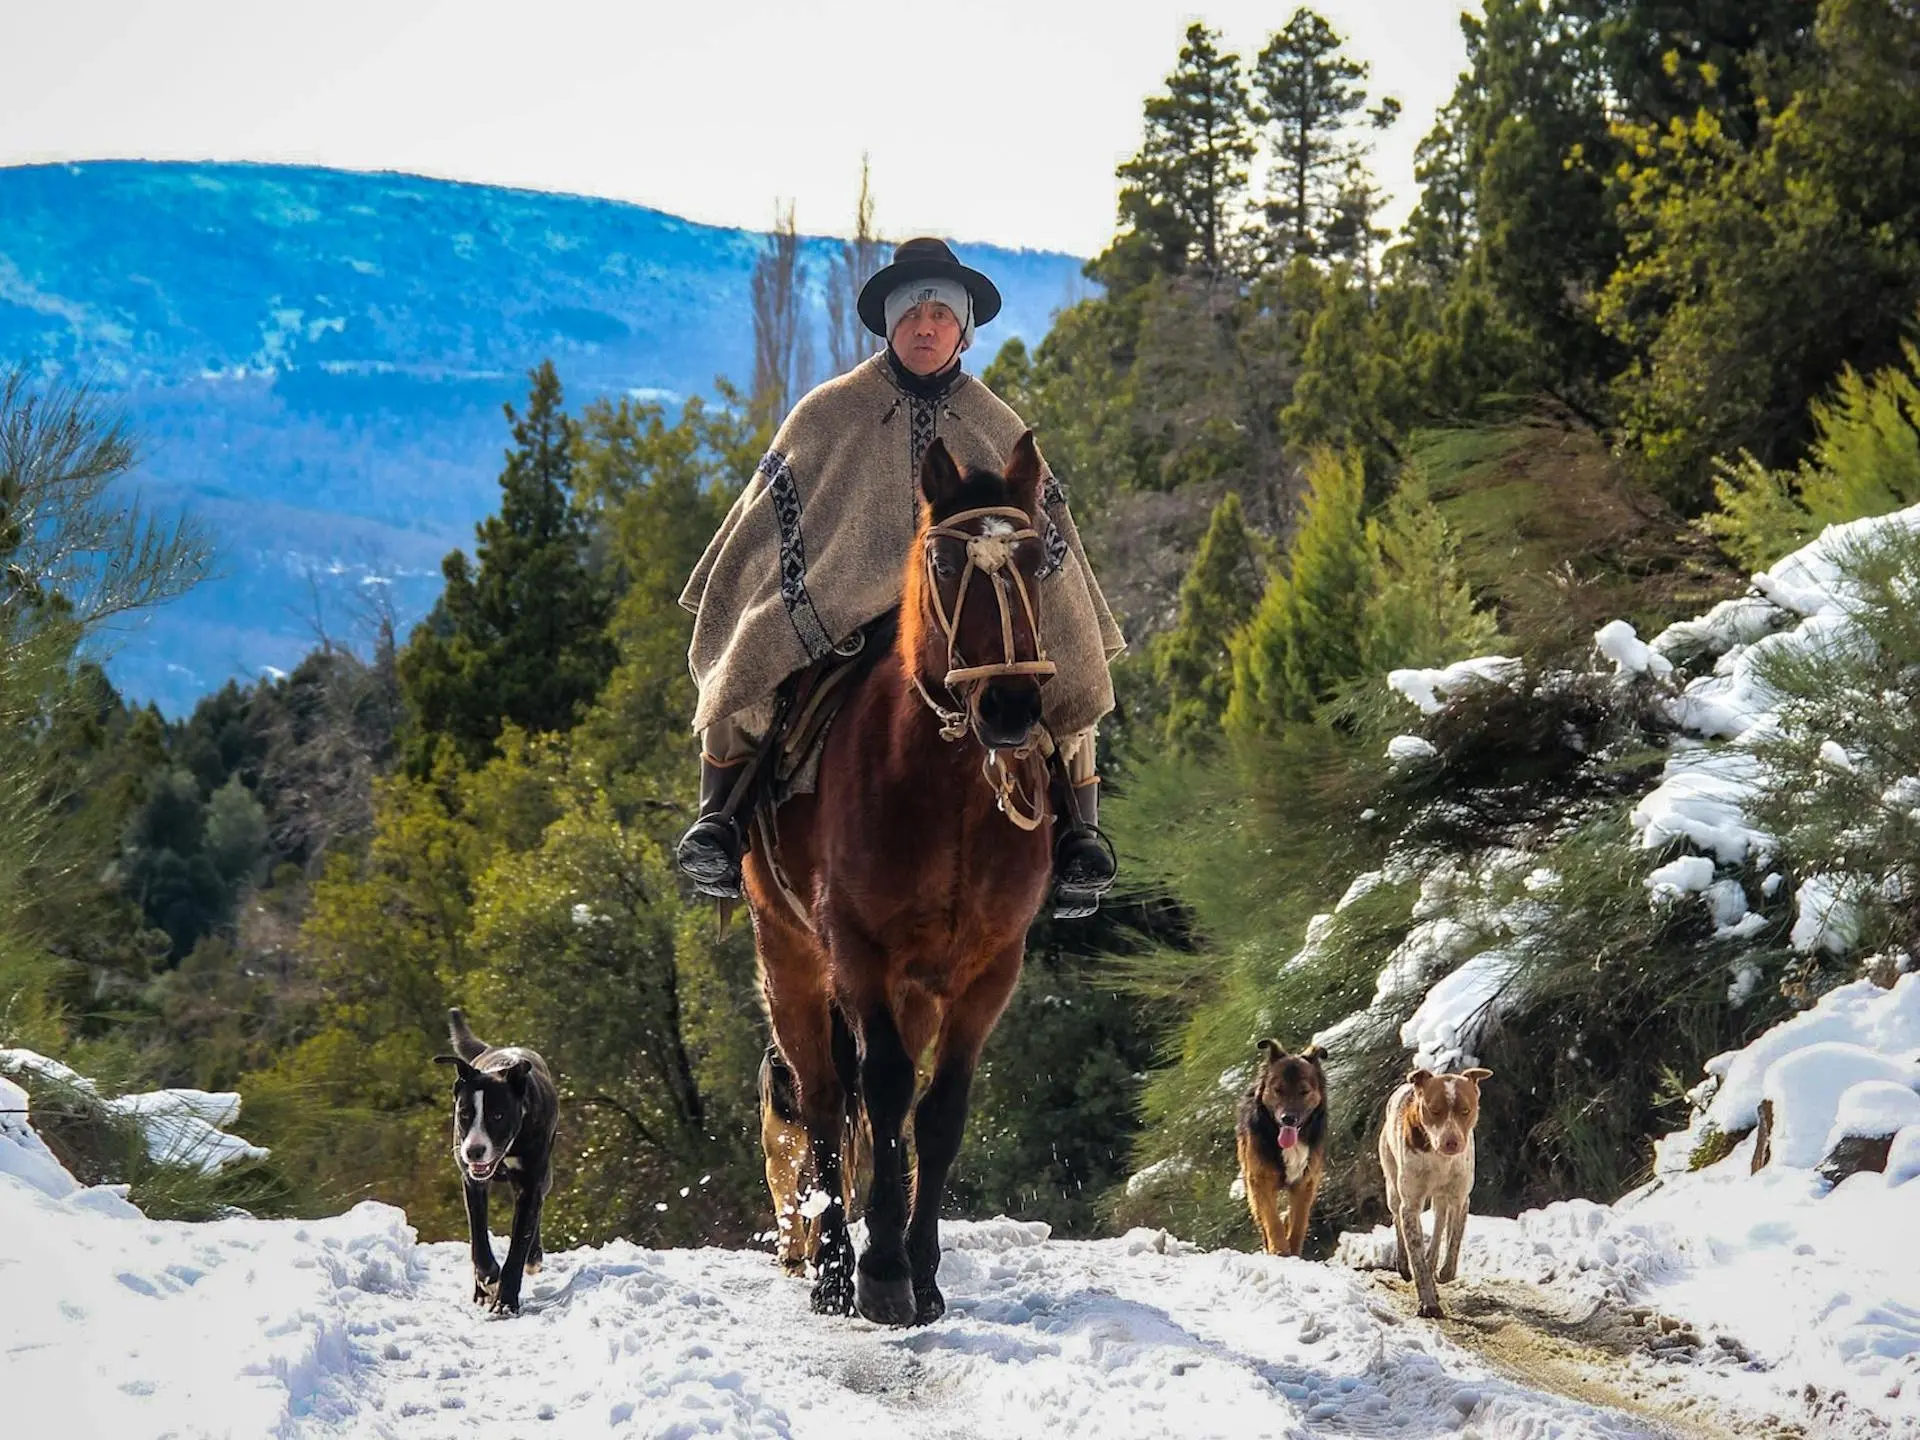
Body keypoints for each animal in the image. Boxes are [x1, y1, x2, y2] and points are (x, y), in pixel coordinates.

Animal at [433, 1006, 556, 1313]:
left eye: (497, 1115)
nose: (474, 1150)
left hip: (545, 1177)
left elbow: (519, 1244)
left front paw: (506, 1302)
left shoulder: (530, 1183)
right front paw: (488, 1279)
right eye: (464, 1114)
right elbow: (478, 1238)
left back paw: (534, 1257)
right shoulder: (472, 1181)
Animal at [741, 432, 1059, 1328]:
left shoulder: (988, 970)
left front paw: (923, 1272)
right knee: (821, 1099)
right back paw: (831, 1271)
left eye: (1038, 560)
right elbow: (879, 1091)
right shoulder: (858, 952)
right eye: (946, 564)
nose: (1009, 708)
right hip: (790, 961)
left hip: (915, 989)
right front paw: (880, 1273)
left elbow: (940, 1112)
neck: (946, 791)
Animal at [1236, 1044, 1328, 1259]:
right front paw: (1279, 1250)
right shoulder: (1259, 1180)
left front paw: (1292, 1251)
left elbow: (1298, 1223)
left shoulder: (1306, 1182)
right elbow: (1272, 1221)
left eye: (1304, 1091)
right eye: (1278, 1090)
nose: (1288, 1118)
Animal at [1374, 1075, 1489, 1320]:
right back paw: (1403, 1264)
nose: (1451, 1142)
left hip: (1440, 1200)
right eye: (1434, 1110)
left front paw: (1442, 1273)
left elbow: (1453, 1242)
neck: (1439, 1159)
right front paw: (1428, 1302)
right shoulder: (1410, 1205)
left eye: (1466, 1110)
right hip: (1393, 1187)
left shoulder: (1459, 1198)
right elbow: (1416, 1256)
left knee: (1438, 1226)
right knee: (1396, 1218)